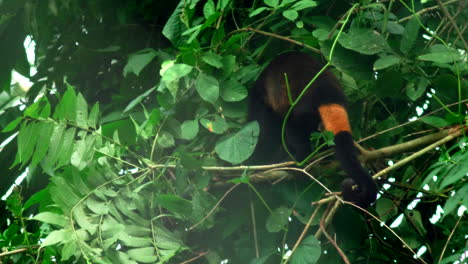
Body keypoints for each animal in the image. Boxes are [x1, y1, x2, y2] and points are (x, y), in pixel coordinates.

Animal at [249, 52, 376, 208]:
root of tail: (328, 94)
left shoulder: (261, 106)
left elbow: (265, 137)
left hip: (304, 111)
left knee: (291, 125)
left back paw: (298, 160)